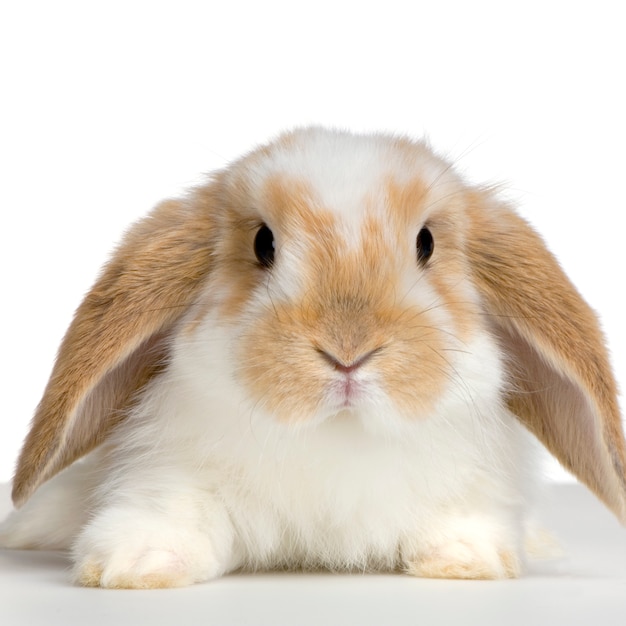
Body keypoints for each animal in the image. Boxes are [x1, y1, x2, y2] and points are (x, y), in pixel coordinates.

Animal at [1, 127, 624, 584]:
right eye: (263, 243)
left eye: (425, 242)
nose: (348, 350)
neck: (336, 435)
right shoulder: (172, 472)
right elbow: (171, 510)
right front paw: (137, 564)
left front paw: (466, 560)